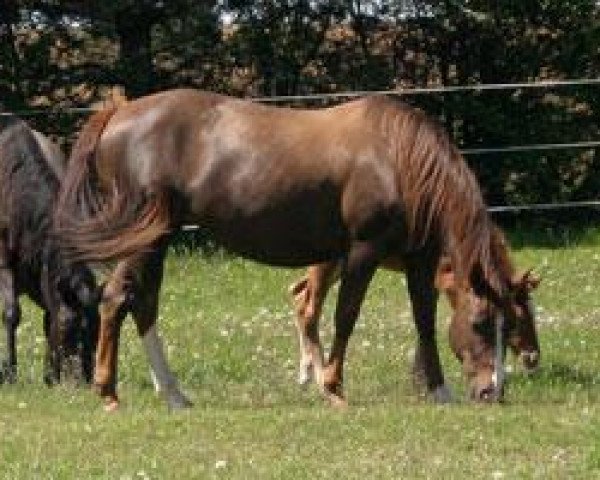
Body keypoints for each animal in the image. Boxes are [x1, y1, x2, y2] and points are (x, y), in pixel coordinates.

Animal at [0, 112, 99, 382]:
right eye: (68, 328)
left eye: (97, 332)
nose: (82, 382)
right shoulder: (3, 263)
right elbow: (11, 313)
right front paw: (10, 372)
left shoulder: (43, 272)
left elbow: (47, 315)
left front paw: (49, 376)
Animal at [288, 234, 540, 400]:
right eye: (518, 318)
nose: (533, 357)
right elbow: (426, 320)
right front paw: (425, 383)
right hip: (328, 262)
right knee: (309, 308)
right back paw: (319, 377)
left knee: (299, 296)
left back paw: (306, 373)